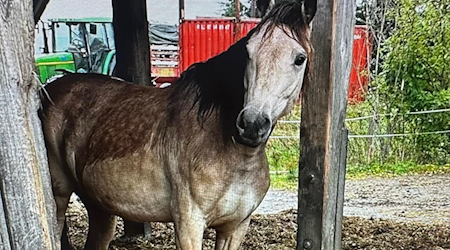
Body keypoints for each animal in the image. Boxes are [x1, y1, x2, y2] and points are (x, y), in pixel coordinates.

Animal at [40, 0, 318, 249]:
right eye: (249, 52)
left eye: (299, 58)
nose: (251, 124)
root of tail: (49, 90)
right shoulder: (189, 225)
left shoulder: (235, 227)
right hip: (59, 197)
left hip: (99, 206)